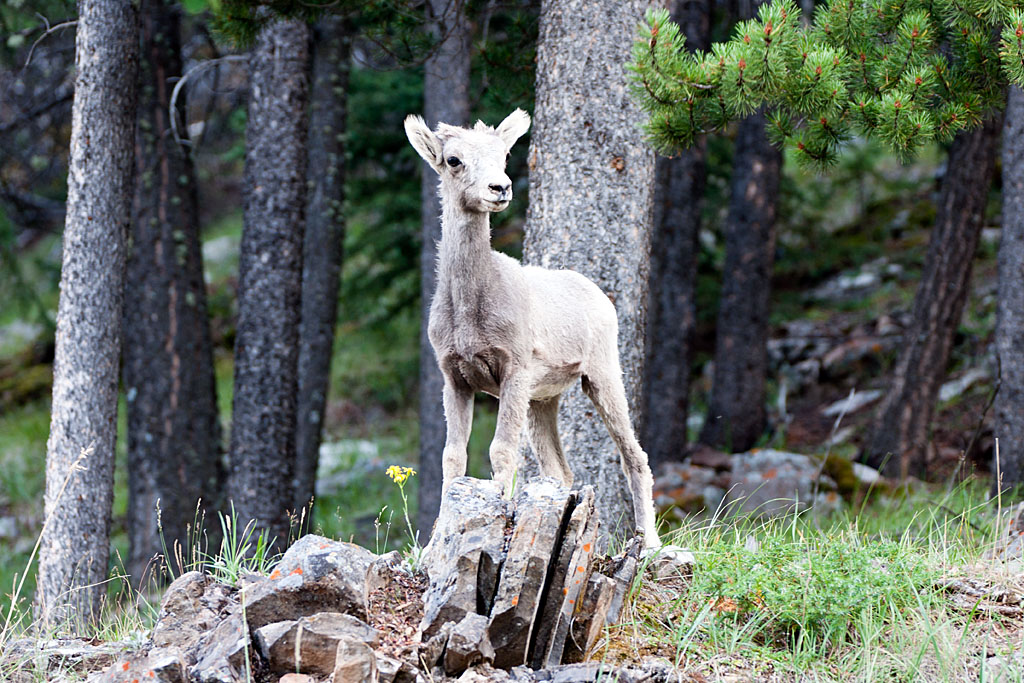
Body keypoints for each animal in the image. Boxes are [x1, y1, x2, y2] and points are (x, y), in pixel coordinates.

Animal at [403, 112, 659, 548]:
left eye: (503, 154)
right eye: (453, 159)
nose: (500, 188)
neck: (469, 310)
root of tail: (600, 296)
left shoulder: (515, 371)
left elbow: (501, 451)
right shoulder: (454, 378)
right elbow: (453, 456)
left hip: (602, 374)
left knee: (634, 455)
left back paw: (651, 542)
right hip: (544, 400)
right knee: (561, 470)